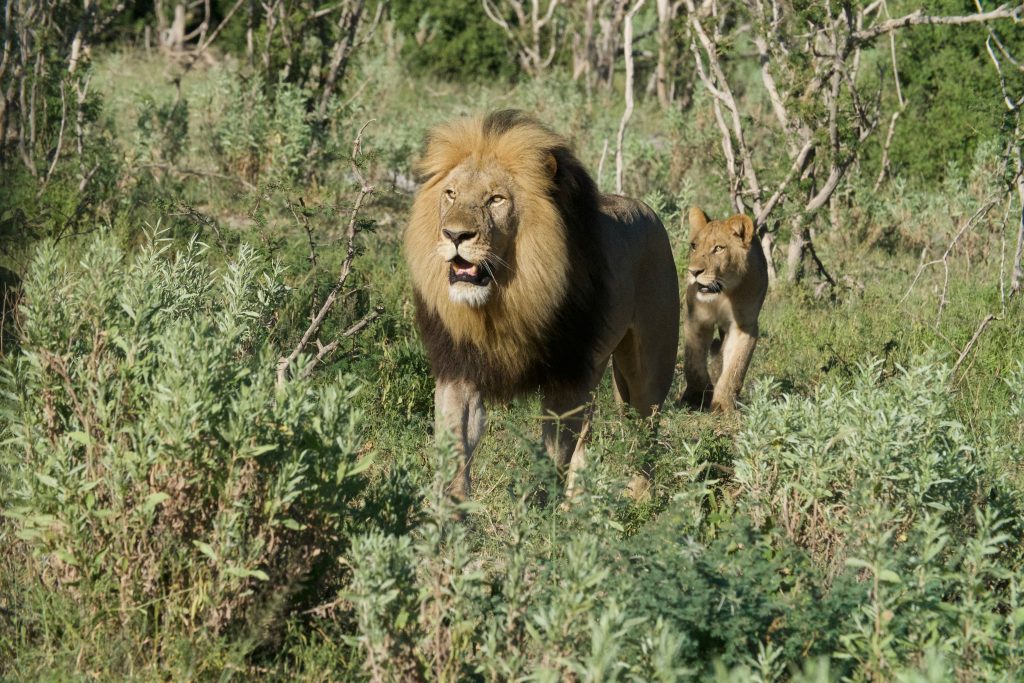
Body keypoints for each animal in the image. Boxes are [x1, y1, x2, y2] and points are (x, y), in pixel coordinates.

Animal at [401, 109, 679, 499]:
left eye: (496, 199)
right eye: (450, 195)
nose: (454, 235)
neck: (505, 298)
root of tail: (647, 209)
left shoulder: (566, 379)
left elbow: (553, 457)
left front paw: (536, 509)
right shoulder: (459, 368)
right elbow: (454, 446)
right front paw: (450, 509)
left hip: (648, 367)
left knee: (645, 431)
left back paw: (639, 499)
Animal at [684, 206, 765, 411]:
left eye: (718, 249)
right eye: (694, 246)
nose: (693, 272)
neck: (723, 294)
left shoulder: (744, 327)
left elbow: (735, 369)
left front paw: (722, 405)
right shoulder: (697, 319)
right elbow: (693, 363)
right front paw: (697, 396)